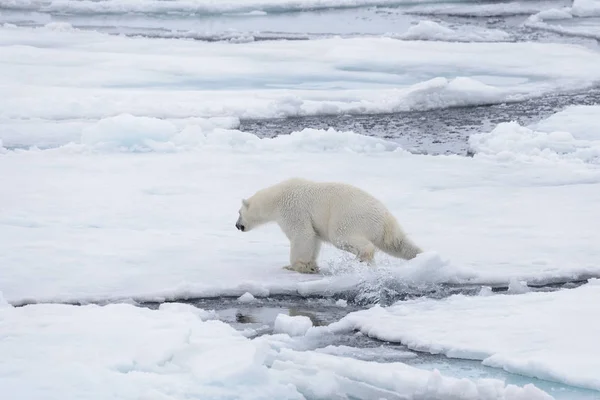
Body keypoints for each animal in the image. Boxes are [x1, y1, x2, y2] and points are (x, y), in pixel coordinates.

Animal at [234, 179, 422, 276]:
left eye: (239, 212)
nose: (237, 226)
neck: (275, 198)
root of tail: (384, 217)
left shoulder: (293, 209)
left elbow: (302, 234)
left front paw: (297, 266)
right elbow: (314, 238)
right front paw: (311, 265)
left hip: (348, 217)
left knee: (341, 237)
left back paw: (362, 257)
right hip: (385, 229)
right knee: (398, 244)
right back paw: (419, 255)